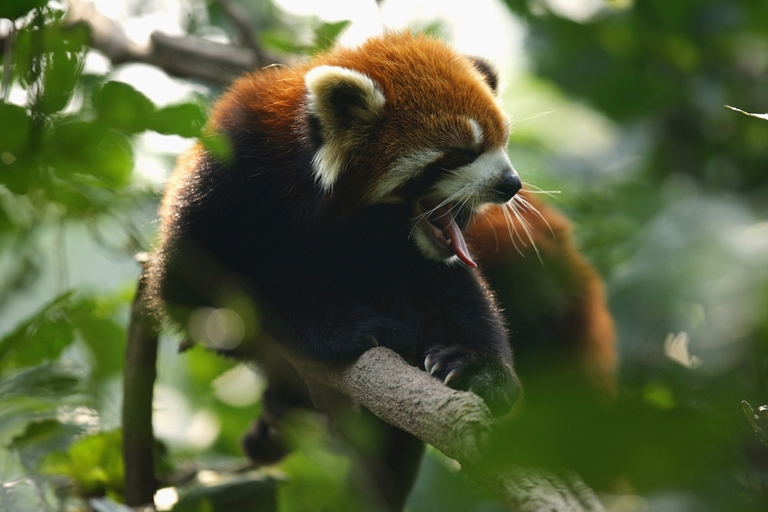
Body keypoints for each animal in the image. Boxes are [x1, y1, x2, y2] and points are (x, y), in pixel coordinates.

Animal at [146, 32, 615, 511]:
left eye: (502, 142)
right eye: (461, 153)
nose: (511, 185)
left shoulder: (411, 251)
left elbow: (456, 293)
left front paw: (476, 366)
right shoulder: (222, 184)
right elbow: (209, 297)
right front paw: (349, 327)